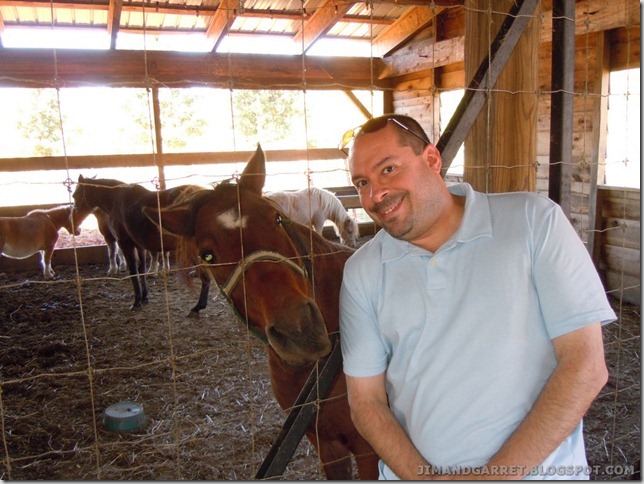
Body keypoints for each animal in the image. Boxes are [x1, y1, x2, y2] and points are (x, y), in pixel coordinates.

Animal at [72, 178, 211, 313]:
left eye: (75, 195)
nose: (73, 222)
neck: (116, 201)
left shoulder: (125, 244)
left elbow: (133, 271)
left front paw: (137, 301)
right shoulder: (139, 246)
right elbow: (141, 269)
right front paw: (144, 297)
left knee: (206, 277)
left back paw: (198, 307)